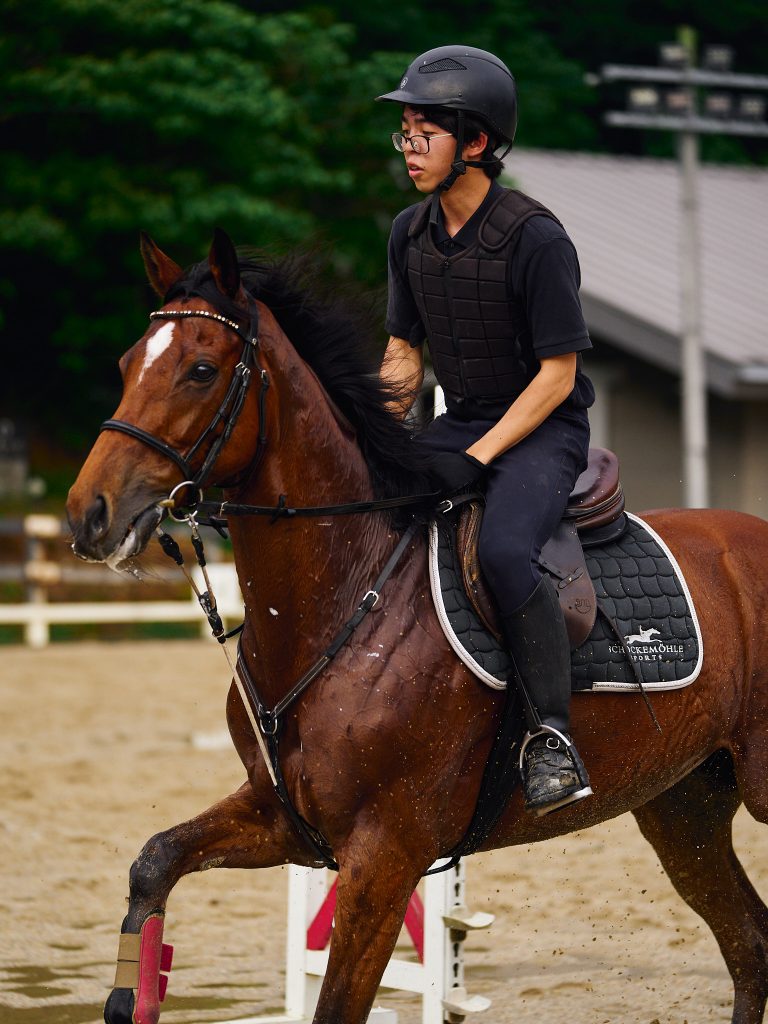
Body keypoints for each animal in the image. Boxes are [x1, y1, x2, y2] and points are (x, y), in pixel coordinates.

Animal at [66, 229, 768, 1024]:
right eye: (128, 365)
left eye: (201, 369)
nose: (89, 514)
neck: (351, 596)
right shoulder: (284, 821)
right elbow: (154, 860)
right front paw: (130, 993)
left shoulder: (386, 856)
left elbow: (338, 1002)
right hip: (685, 809)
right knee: (750, 943)